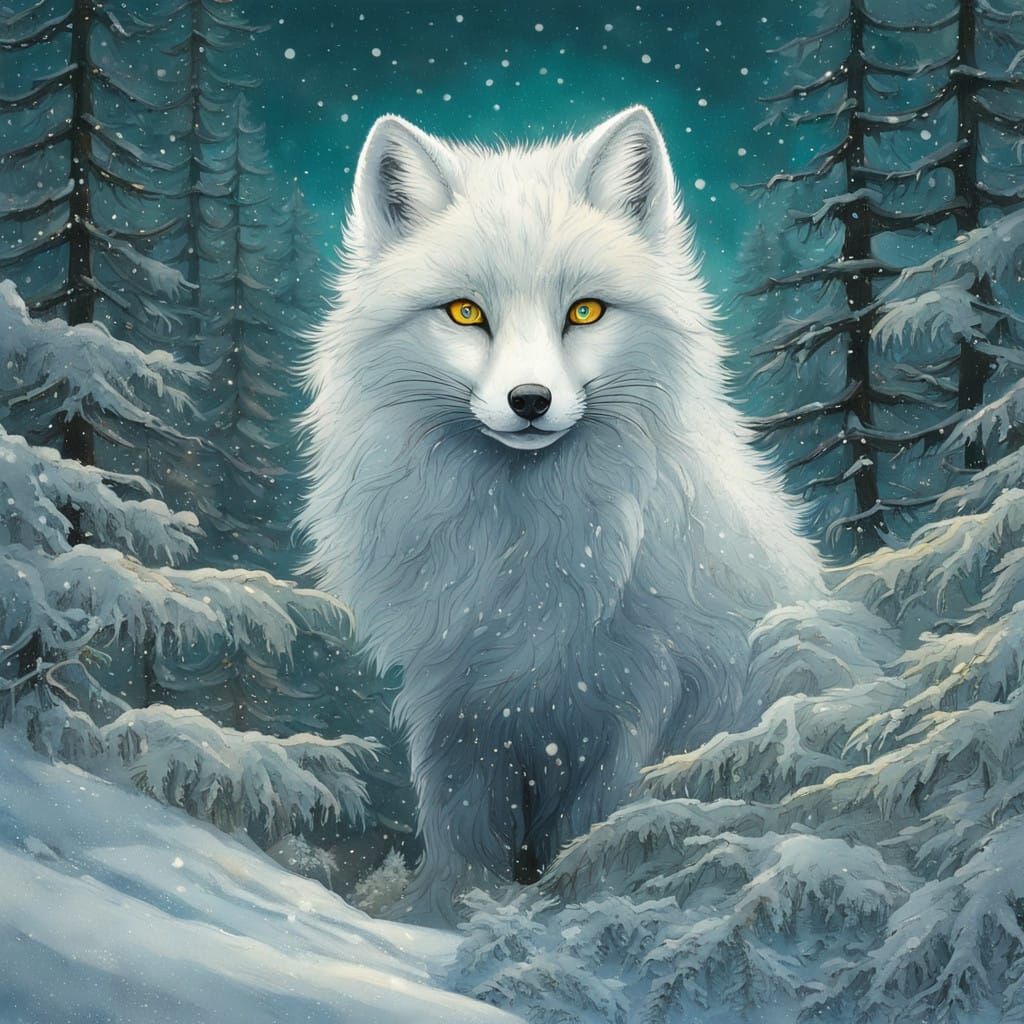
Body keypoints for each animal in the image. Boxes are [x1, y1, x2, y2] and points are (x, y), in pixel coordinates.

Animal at [300, 106, 821, 917]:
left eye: (585, 311)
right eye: (465, 313)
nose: (530, 401)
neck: (526, 545)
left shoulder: (629, 699)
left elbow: (599, 824)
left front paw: (575, 905)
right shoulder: (457, 696)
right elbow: (457, 825)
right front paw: (446, 912)